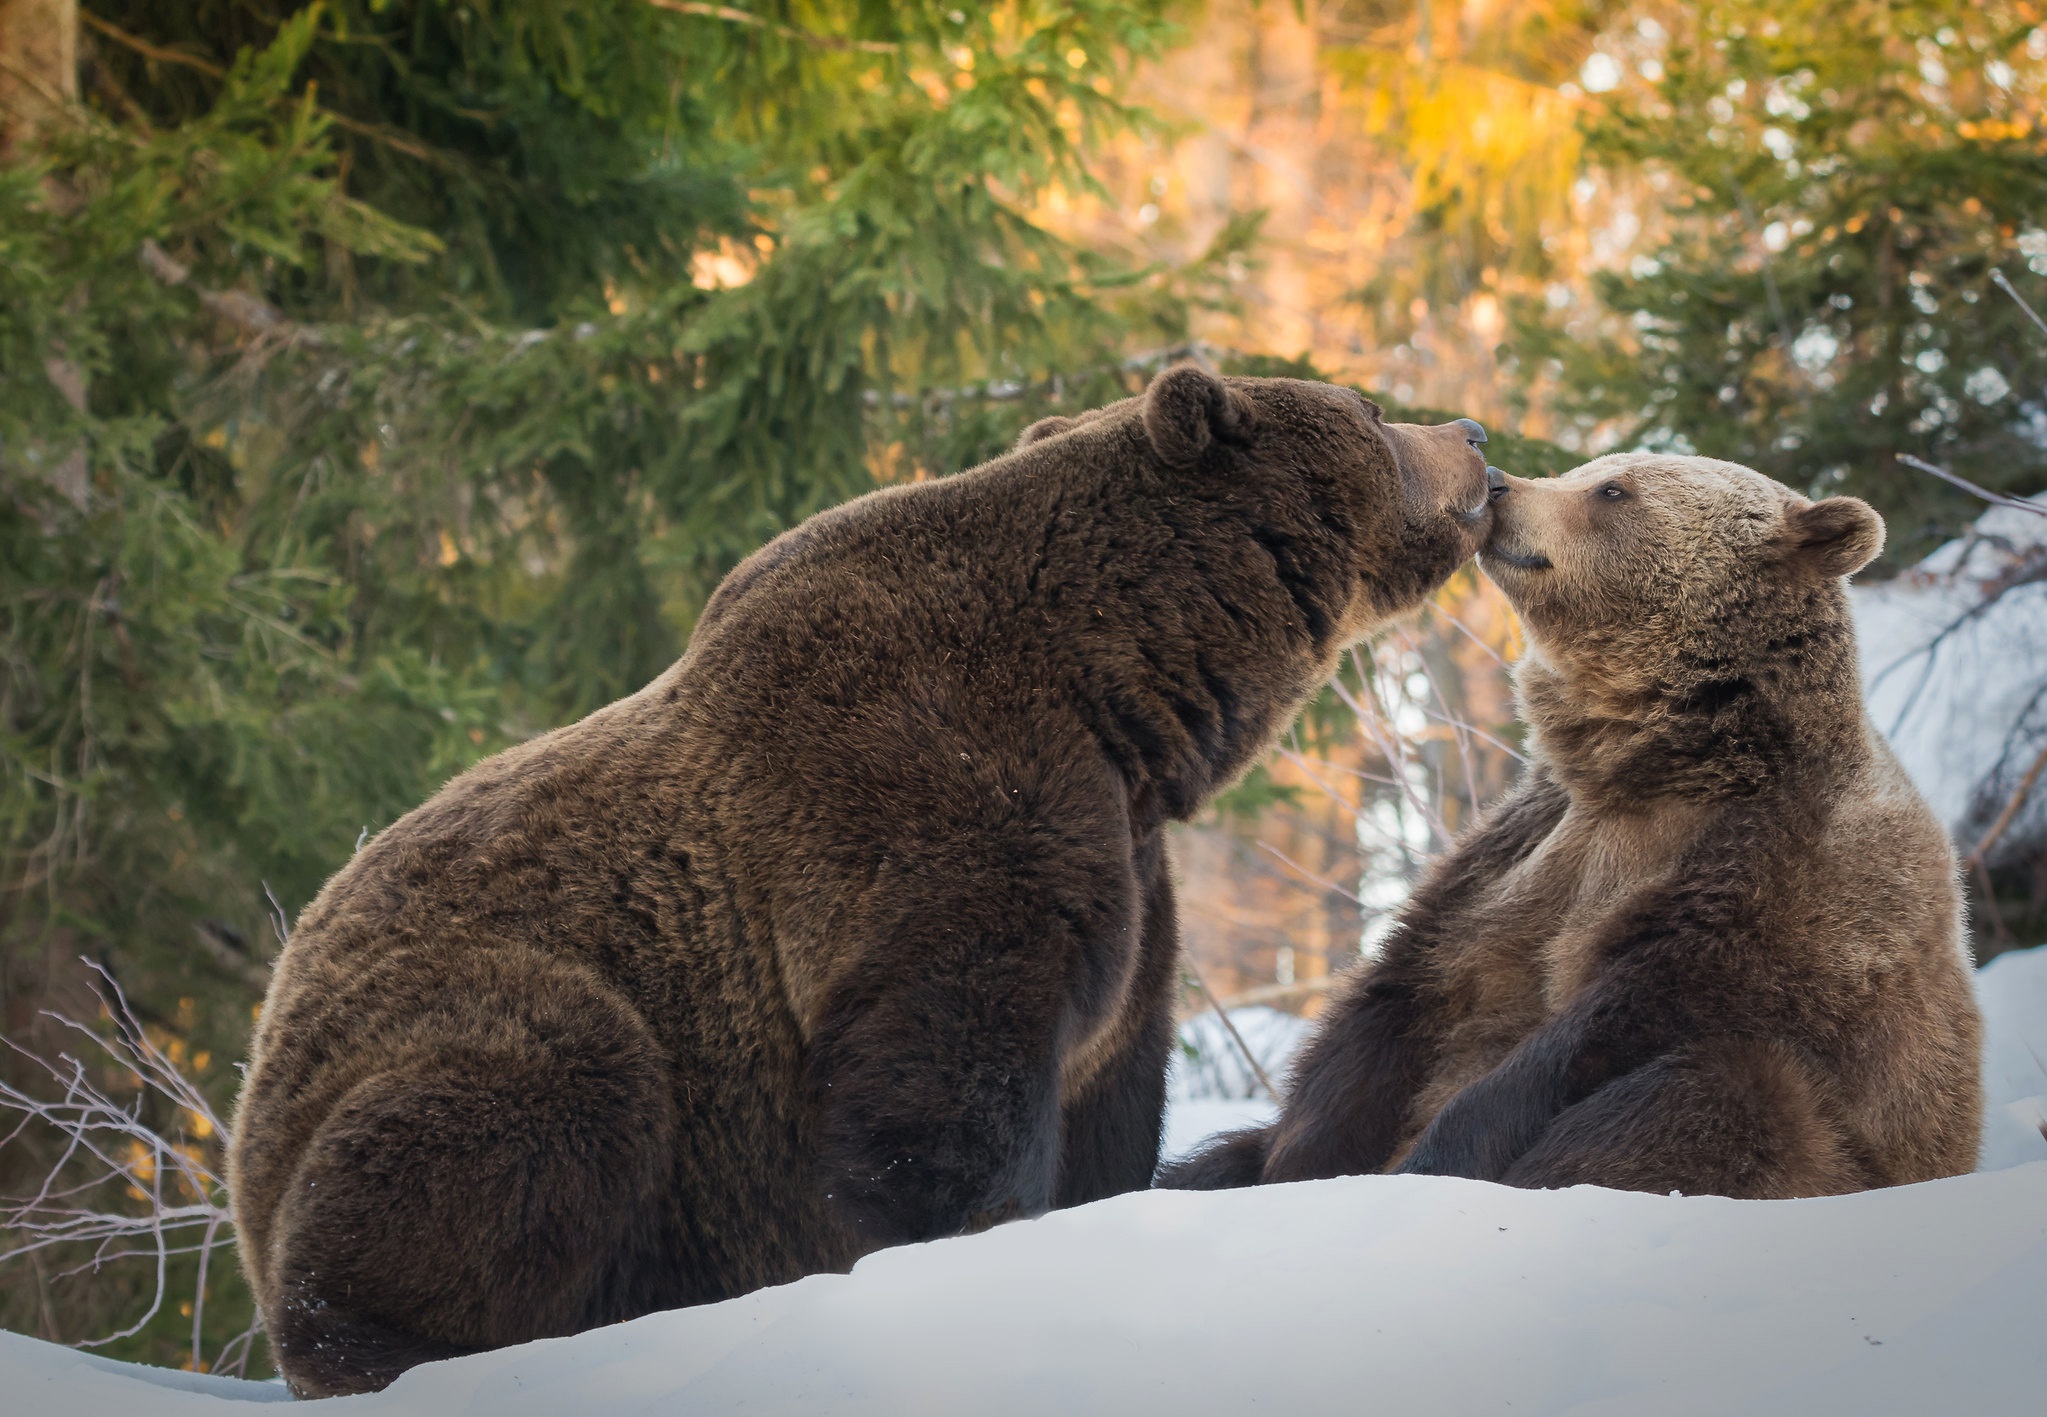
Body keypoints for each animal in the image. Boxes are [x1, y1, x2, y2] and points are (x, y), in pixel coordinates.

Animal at [224, 364, 1506, 1392]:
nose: (1474, 433)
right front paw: (974, 1254)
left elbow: (1108, 1082)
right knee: (537, 1094)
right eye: (1369, 409)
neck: (1124, 692)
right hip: (478, 1035)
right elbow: (942, 1083)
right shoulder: (930, 805)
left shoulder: (1124, 870)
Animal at [1170, 450, 1981, 1195]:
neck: (1651, 761)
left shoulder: (1778, 876)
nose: (1499, 483)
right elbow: (1397, 999)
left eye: (1613, 491)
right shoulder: (1521, 847)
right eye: (1584, 468)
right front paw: (1301, 1165)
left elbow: (1600, 1028)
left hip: (1836, 1142)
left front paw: (1433, 1159)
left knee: (1718, 1097)